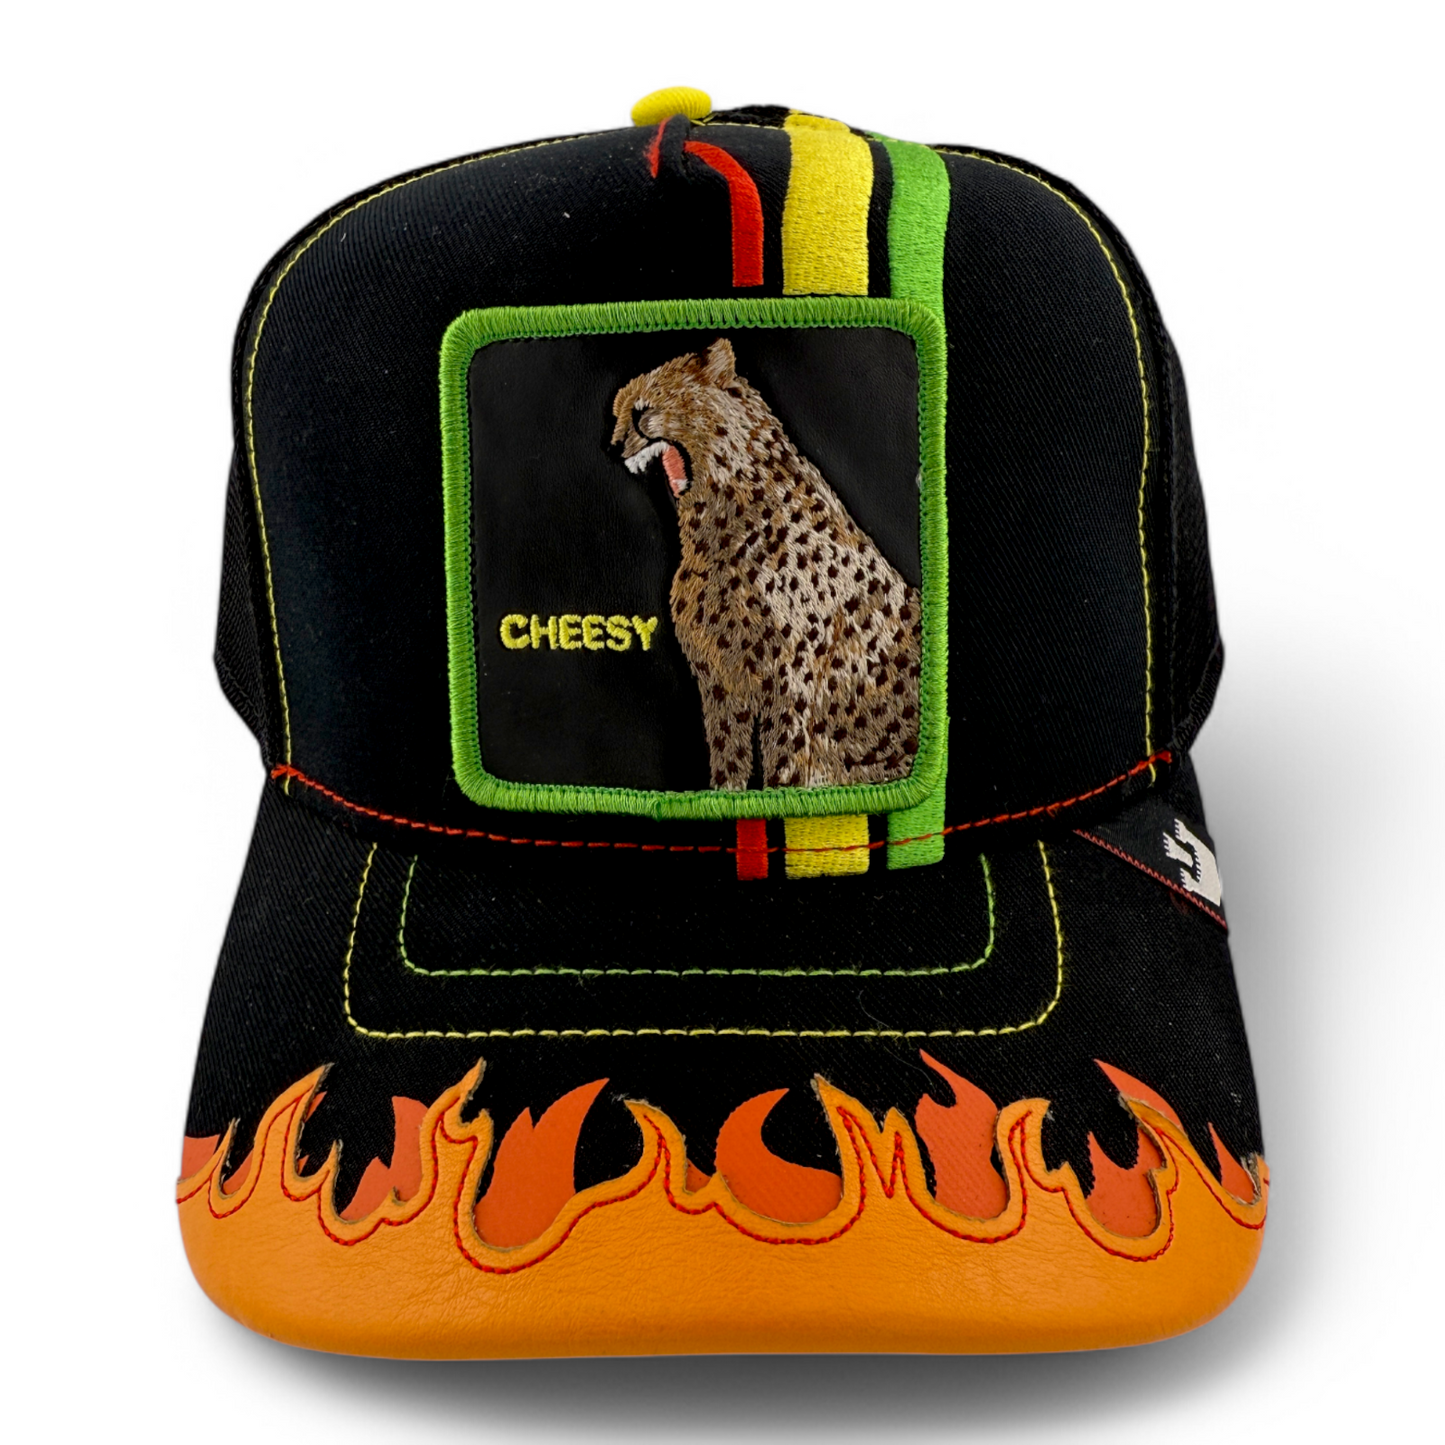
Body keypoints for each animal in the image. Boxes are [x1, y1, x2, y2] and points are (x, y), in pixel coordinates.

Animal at [611, 337, 921, 791]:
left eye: (641, 411)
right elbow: (729, 760)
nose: (614, 445)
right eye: (617, 415)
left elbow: (784, 765)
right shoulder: (721, 683)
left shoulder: (791, 683)